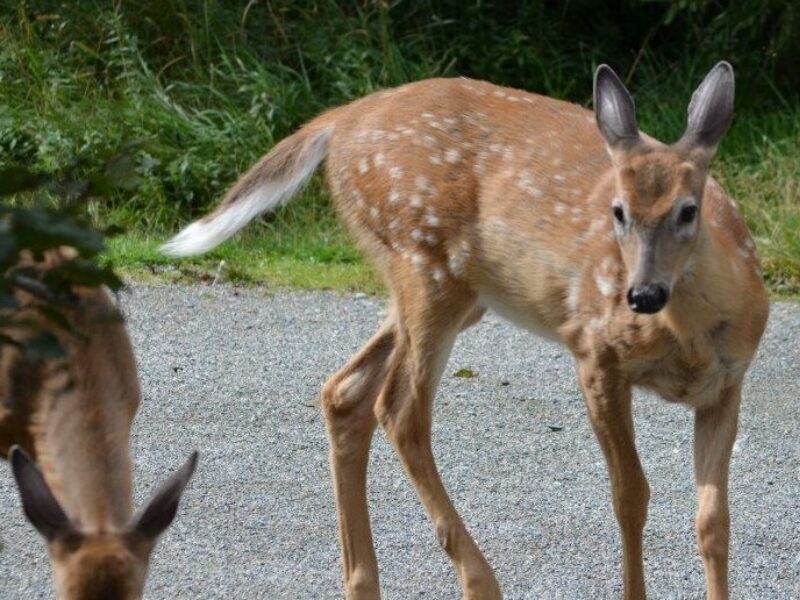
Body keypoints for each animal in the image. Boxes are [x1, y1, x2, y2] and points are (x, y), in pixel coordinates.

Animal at [162, 62, 768, 600]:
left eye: (688, 211)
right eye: (617, 211)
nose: (641, 295)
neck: (689, 338)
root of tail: (339, 118)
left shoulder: (729, 383)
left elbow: (714, 519)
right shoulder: (595, 352)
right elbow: (630, 496)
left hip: (440, 288)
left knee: (344, 391)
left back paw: (363, 585)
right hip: (426, 263)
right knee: (398, 410)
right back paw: (479, 582)